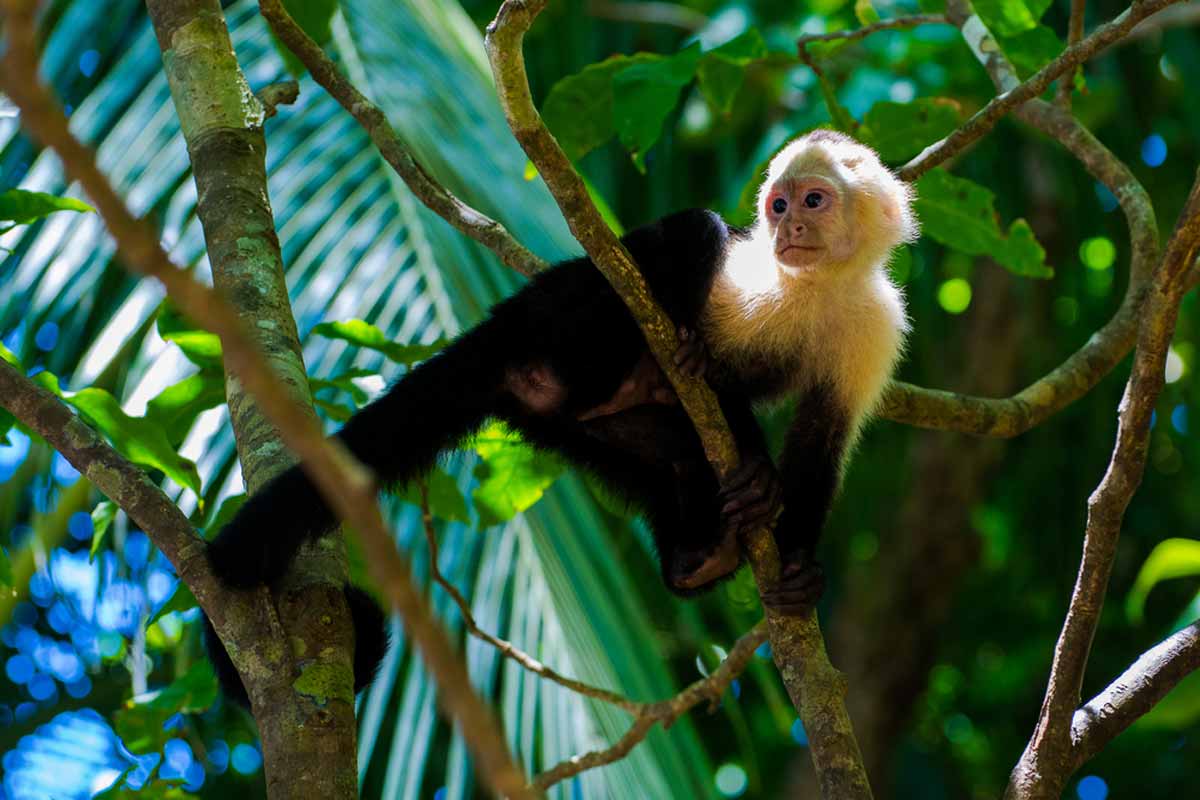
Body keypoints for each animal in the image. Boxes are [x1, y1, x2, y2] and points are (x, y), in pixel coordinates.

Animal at [201, 128, 912, 705]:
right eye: (778, 206)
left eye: (812, 201)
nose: (789, 230)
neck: (814, 286)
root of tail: (505, 325)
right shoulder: (750, 275)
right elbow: (707, 317)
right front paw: (737, 426)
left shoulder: (875, 324)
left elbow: (824, 435)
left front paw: (797, 567)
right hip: (563, 321)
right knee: (683, 240)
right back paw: (679, 365)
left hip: (571, 422)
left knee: (667, 448)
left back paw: (699, 554)